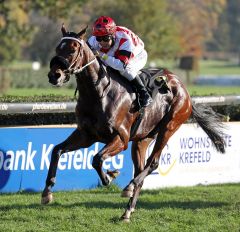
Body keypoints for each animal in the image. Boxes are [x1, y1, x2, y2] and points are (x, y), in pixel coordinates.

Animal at [41, 24, 227, 222]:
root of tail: (183, 88)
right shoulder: (86, 135)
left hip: (169, 127)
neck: (98, 93)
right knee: (140, 169)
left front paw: (109, 177)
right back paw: (127, 211)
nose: (54, 75)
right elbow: (57, 150)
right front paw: (47, 192)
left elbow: (97, 159)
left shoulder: (121, 138)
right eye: (57, 48)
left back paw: (129, 187)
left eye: (73, 49)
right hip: (142, 139)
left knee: (152, 163)